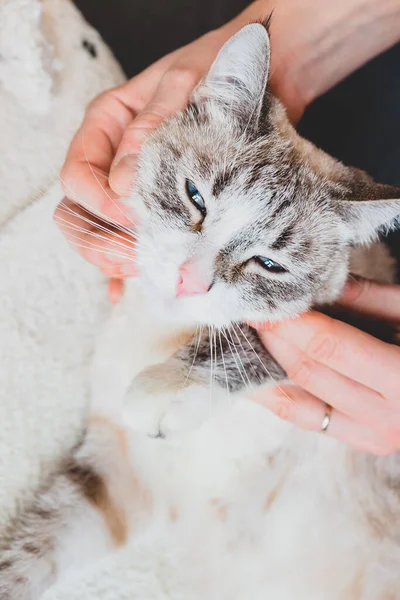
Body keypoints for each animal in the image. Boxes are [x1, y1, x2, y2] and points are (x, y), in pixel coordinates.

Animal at [2, 19, 400, 600]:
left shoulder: (365, 317)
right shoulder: (123, 472)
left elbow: (269, 338)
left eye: (269, 264)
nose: (191, 280)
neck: (161, 328)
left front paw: (164, 388)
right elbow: (29, 553)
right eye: (195, 197)